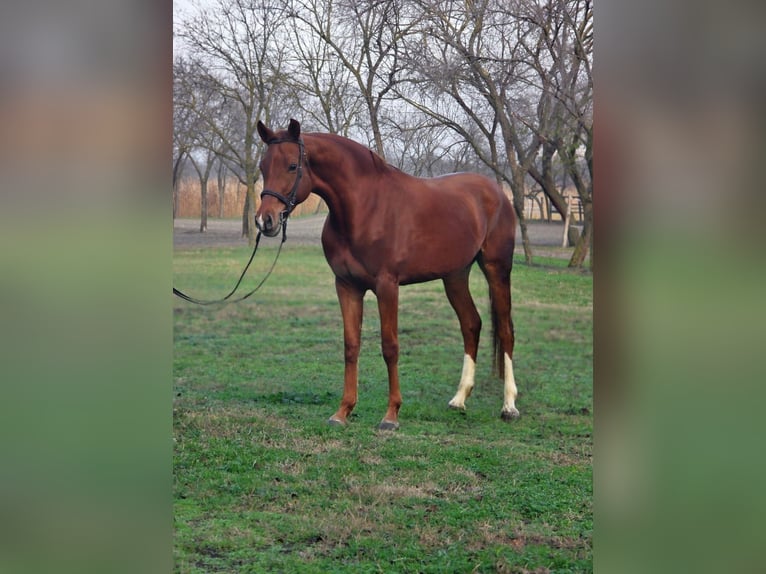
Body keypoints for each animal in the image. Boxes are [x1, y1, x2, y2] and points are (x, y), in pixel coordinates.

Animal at [255, 119, 519, 430]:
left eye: (292, 166)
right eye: (263, 166)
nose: (265, 220)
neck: (365, 208)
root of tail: (497, 191)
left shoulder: (387, 286)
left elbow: (390, 346)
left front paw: (391, 415)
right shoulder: (346, 286)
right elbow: (351, 345)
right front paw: (342, 411)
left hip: (497, 269)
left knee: (506, 330)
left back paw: (509, 406)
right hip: (455, 276)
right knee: (471, 324)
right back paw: (459, 399)